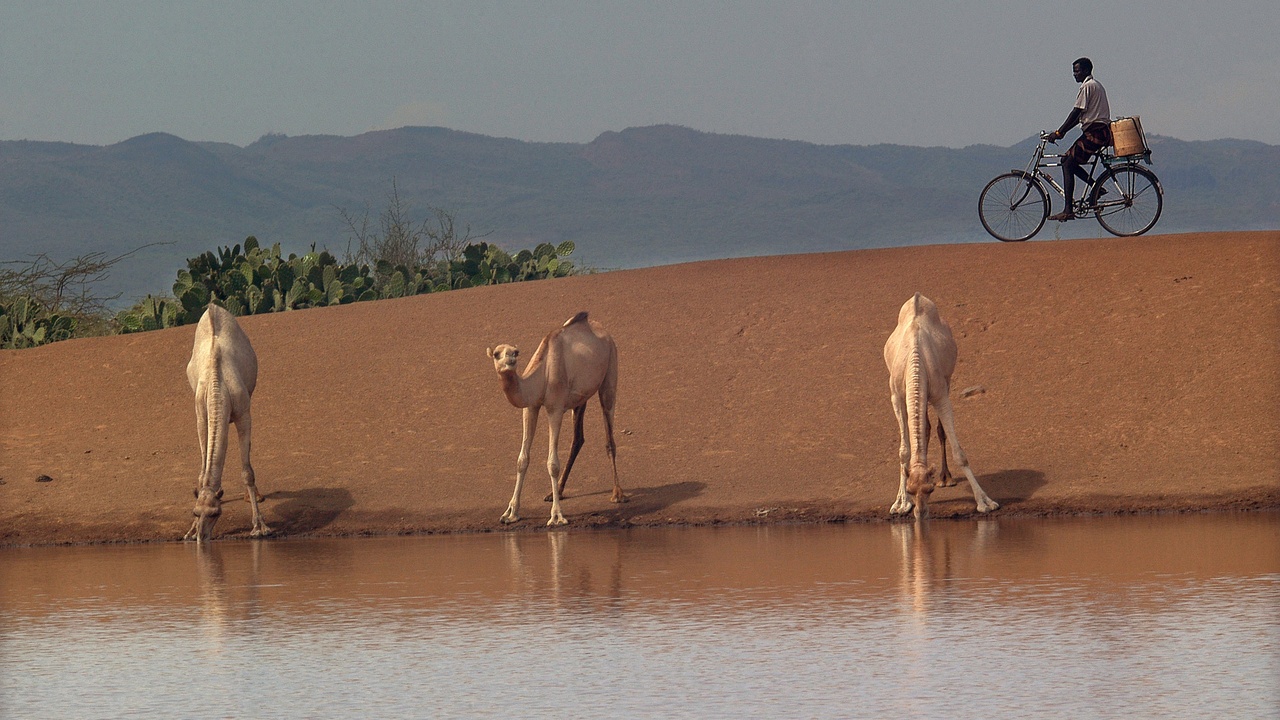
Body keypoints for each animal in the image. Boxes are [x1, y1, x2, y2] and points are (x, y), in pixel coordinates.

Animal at [184, 303, 270, 542]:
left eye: (215, 513)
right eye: (196, 512)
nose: (202, 537)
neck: (218, 387)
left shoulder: (243, 415)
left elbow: (247, 471)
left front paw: (259, 526)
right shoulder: (201, 417)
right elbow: (202, 473)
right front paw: (190, 531)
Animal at [487, 311, 625, 526]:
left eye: (515, 352)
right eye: (496, 354)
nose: (509, 362)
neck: (541, 374)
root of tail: (605, 332)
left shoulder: (555, 408)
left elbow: (552, 463)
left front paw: (557, 516)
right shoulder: (530, 407)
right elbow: (522, 459)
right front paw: (510, 513)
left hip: (610, 371)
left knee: (609, 437)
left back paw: (617, 494)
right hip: (580, 398)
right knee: (578, 438)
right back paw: (556, 491)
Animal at [883, 293, 999, 519]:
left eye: (929, 490)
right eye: (911, 490)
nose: (920, 513)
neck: (916, 362)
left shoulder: (940, 395)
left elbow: (959, 453)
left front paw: (985, 501)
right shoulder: (897, 396)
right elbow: (904, 451)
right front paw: (900, 503)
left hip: (947, 380)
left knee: (937, 428)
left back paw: (946, 477)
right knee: (925, 427)